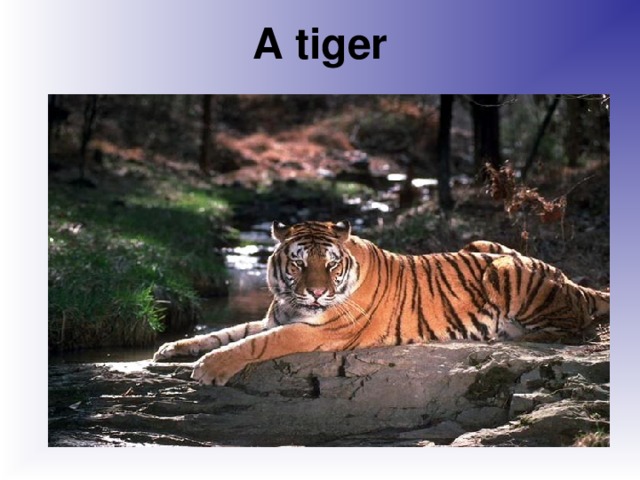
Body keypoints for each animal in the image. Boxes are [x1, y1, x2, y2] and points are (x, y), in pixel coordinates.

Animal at [153, 220, 610, 386]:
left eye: (330, 265)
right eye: (298, 263)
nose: (316, 292)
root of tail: (566, 275)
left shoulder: (313, 333)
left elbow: (252, 344)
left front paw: (208, 369)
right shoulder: (274, 316)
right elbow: (225, 332)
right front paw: (171, 347)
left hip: (503, 267)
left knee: (572, 327)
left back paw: (506, 334)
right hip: (486, 244)